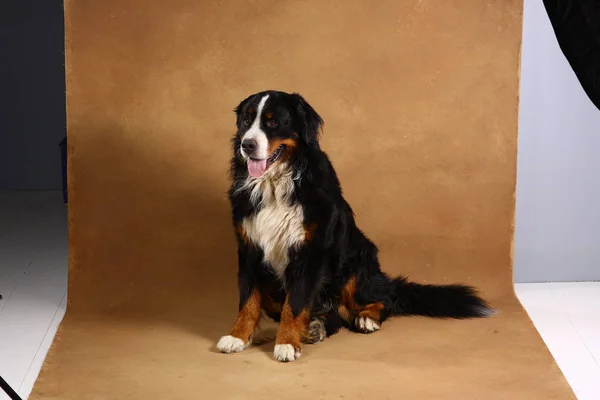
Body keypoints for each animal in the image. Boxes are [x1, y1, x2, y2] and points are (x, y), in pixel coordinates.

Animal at [216, 90, 492, 362]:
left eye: (273, 123)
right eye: (246, 121)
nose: (247, 145)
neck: (274, 184)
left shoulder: (309, 252)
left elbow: (294, 303)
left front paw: (286, 343)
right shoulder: (249, 248)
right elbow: (248, 300)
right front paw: (237, 336)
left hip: (355, 263)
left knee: (384, 299)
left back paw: (366, 318)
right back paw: (316, 326)